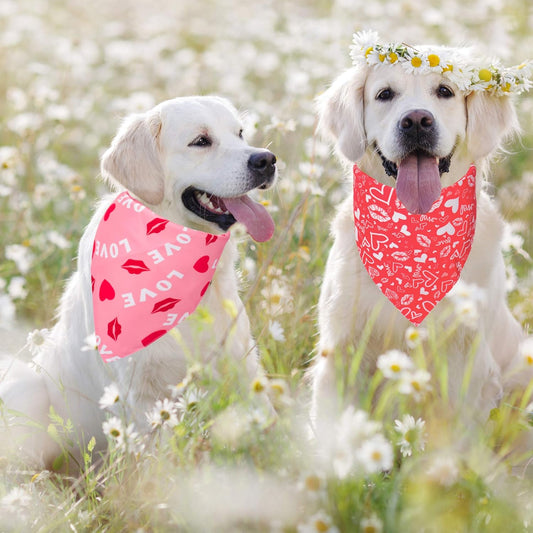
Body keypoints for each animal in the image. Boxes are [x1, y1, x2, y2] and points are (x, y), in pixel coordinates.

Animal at [0, 96, 274, 470]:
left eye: (241, 133)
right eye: (201, 141)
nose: (267, 160)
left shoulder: (242, 364)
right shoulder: (142, 393)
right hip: (27, 390)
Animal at [310, 31, 528, 434]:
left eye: (444, 91)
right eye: (384, 94)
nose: (416, 120)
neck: (414, 236)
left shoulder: (465, 366)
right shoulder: (341, 351)